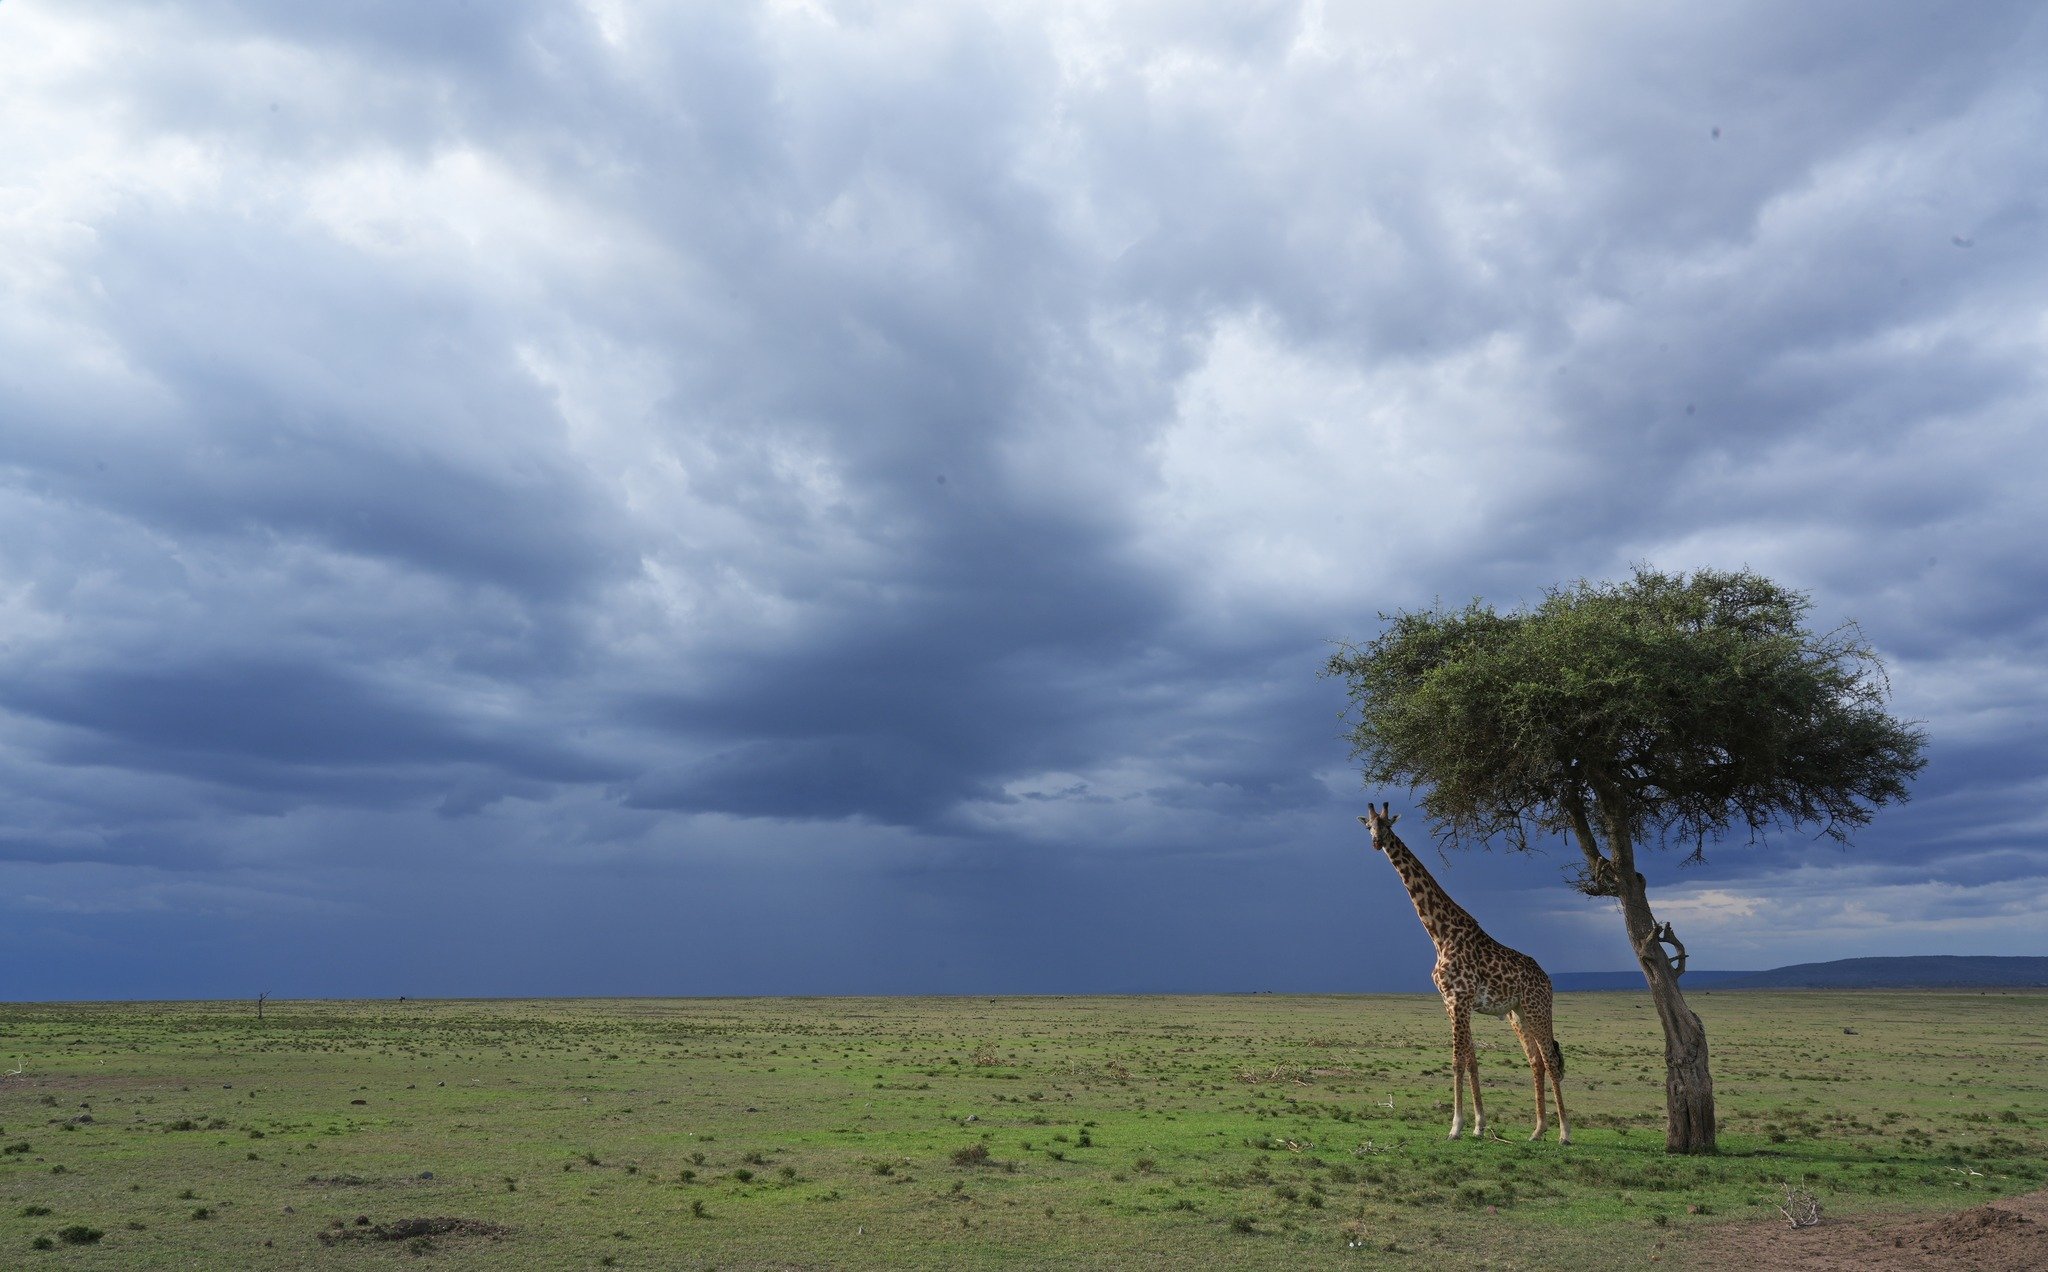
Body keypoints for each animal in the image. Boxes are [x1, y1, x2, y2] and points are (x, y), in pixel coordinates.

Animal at [1359, 802, 1564, 1138]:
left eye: (1388, 825)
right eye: (1369, 827)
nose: (1377, 843)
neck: (1440, 934)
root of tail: (1547, 980)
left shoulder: (1459, 998)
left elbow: (1457, 1061)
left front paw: (1456, 1126)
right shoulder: (1450, 1002)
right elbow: (1471, 1061)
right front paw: (1479, 1125)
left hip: (1537, 1007)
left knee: (1550, 1059)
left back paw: (1564, 1134)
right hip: (1518, 1012)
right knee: (1535, 1060)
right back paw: (1537, 1131)